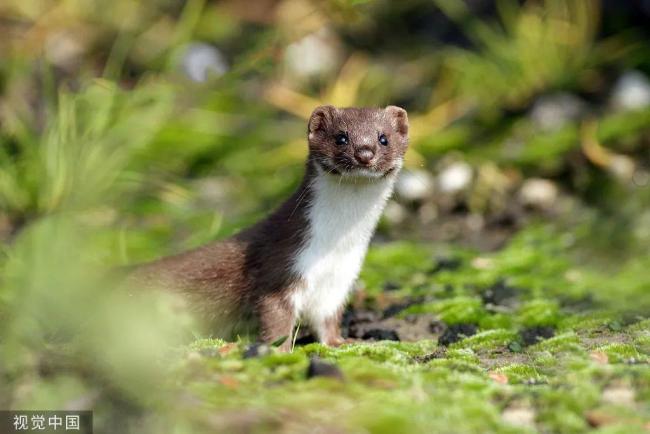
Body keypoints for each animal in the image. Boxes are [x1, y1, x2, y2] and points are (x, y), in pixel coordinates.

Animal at [129, 105, 408, 350]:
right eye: (341, 137)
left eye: (383, 138)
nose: (365, 153)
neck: (334, 246)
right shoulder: (281, 266)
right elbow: (275, 317)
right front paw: (280, 349)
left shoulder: (338, 282)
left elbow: (327, 320)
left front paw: (342, 341)